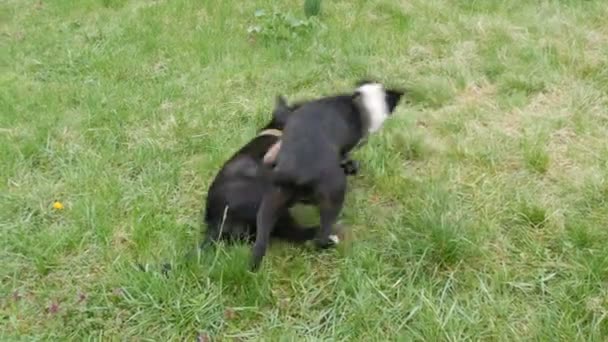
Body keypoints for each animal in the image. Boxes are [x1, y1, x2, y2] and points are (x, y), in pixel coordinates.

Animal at [252, 81, 404, 270]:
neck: (360, 103)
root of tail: (294, 171)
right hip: (334, 196)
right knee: (321, 237)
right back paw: (331, 241)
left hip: (270, 202)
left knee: (260, 242)